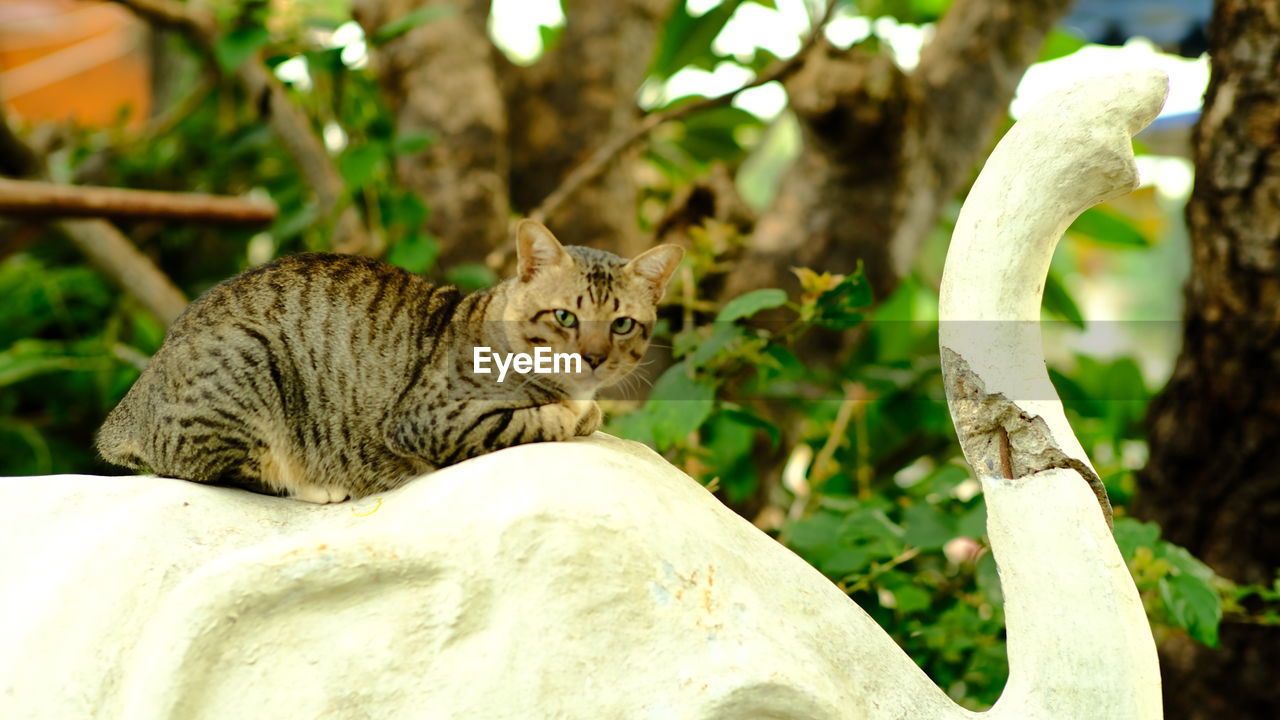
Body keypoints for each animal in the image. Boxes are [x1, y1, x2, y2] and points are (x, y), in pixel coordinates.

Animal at [96, 221, 686, 502]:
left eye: (622, 324)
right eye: (565, 316)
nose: (594, 358)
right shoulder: (431, 420)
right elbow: (538, 421)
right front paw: (572, 413)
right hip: (248, 363)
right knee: (212, 471)